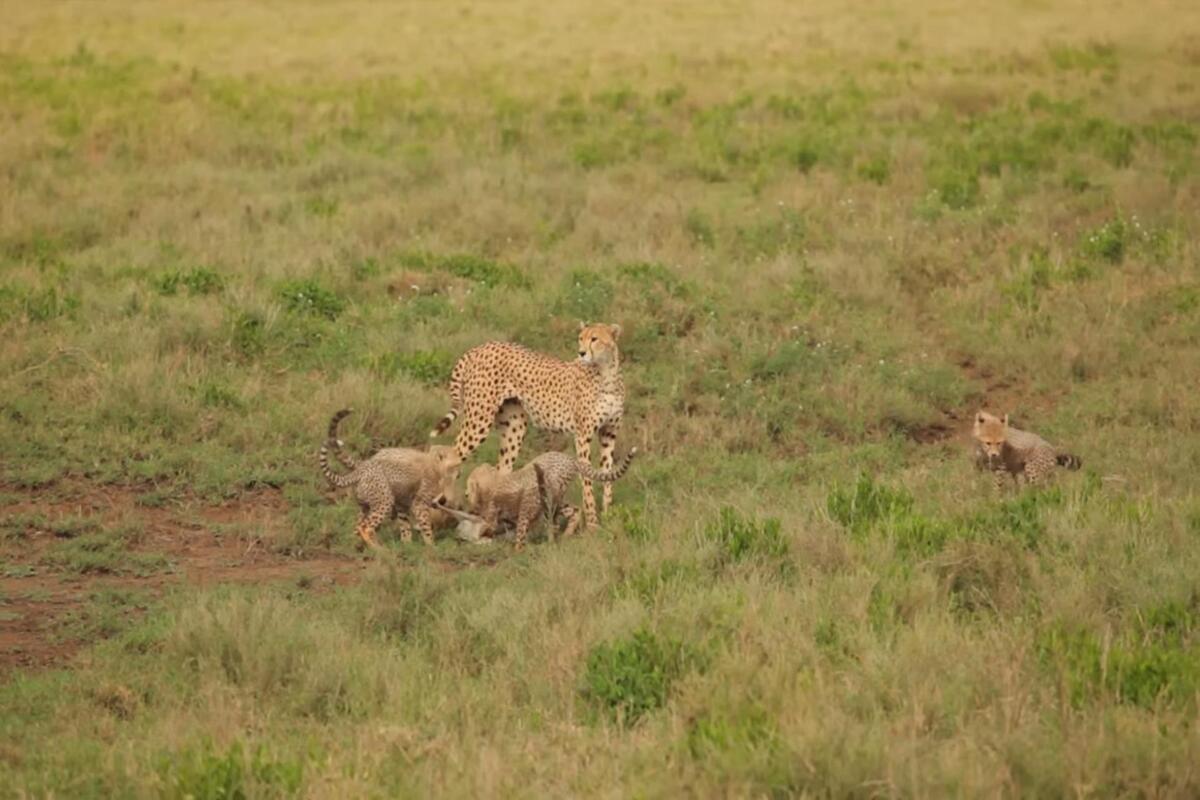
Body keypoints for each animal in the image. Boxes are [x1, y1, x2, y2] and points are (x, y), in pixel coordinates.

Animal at [320, 409, 461, 548]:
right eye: (457, 461)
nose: (460, 472)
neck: (433, 463)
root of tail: (364, 466)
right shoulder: (419, 504)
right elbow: (425, 526)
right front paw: (431, 546)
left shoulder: (402, 503)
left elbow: (405, 524)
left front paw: (407, 545)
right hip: (384, 500)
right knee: (365, 527)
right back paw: (377, 547)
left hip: (365, 504)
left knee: (358, 525)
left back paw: (358, 544)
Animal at [430, 321, 626, 529]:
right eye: (581, 338)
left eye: (594, 339)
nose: (581, 352)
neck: (606, 374)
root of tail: (480, 347)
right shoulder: (583, 435)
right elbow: (588, 479)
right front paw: (593, 522)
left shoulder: (609, 433)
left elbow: (608, 474)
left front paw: (608, 514)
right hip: (479, 420)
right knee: (450, 458)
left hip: (514, 427)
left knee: (502, 468)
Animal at [439, 448, 638, 550]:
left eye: (468, 489)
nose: (466, 497)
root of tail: (569, 457)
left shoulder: (519, 513)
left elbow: (517, 534)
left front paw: (518, 552)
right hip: (556, 499)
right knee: (574, 510)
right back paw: (566, 535)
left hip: (552, 496)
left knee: (561, 516)